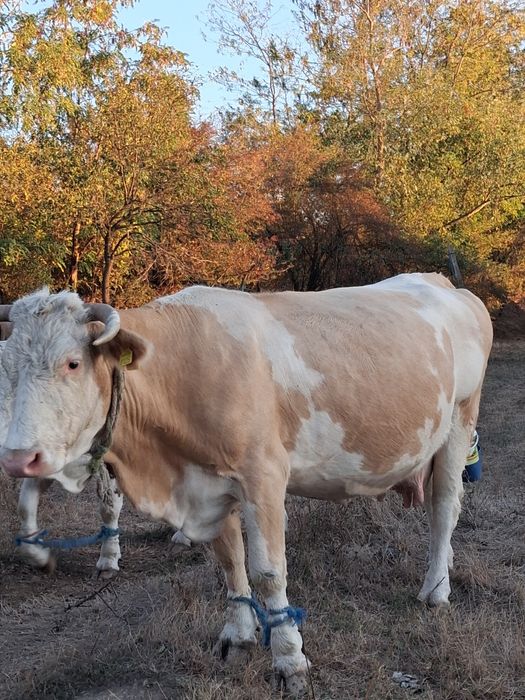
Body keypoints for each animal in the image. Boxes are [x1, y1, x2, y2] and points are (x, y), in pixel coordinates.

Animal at [0, 273, 492, 696]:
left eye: (72, 363)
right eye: (6, 369)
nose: (19, 458)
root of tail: (443, 283)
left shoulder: (264, 477)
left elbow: (268, 572)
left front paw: (290, 662)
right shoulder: (208, 486)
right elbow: (229, 561)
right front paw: (238, 637)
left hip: (459, 422)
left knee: (445, 508)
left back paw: (436, 589)